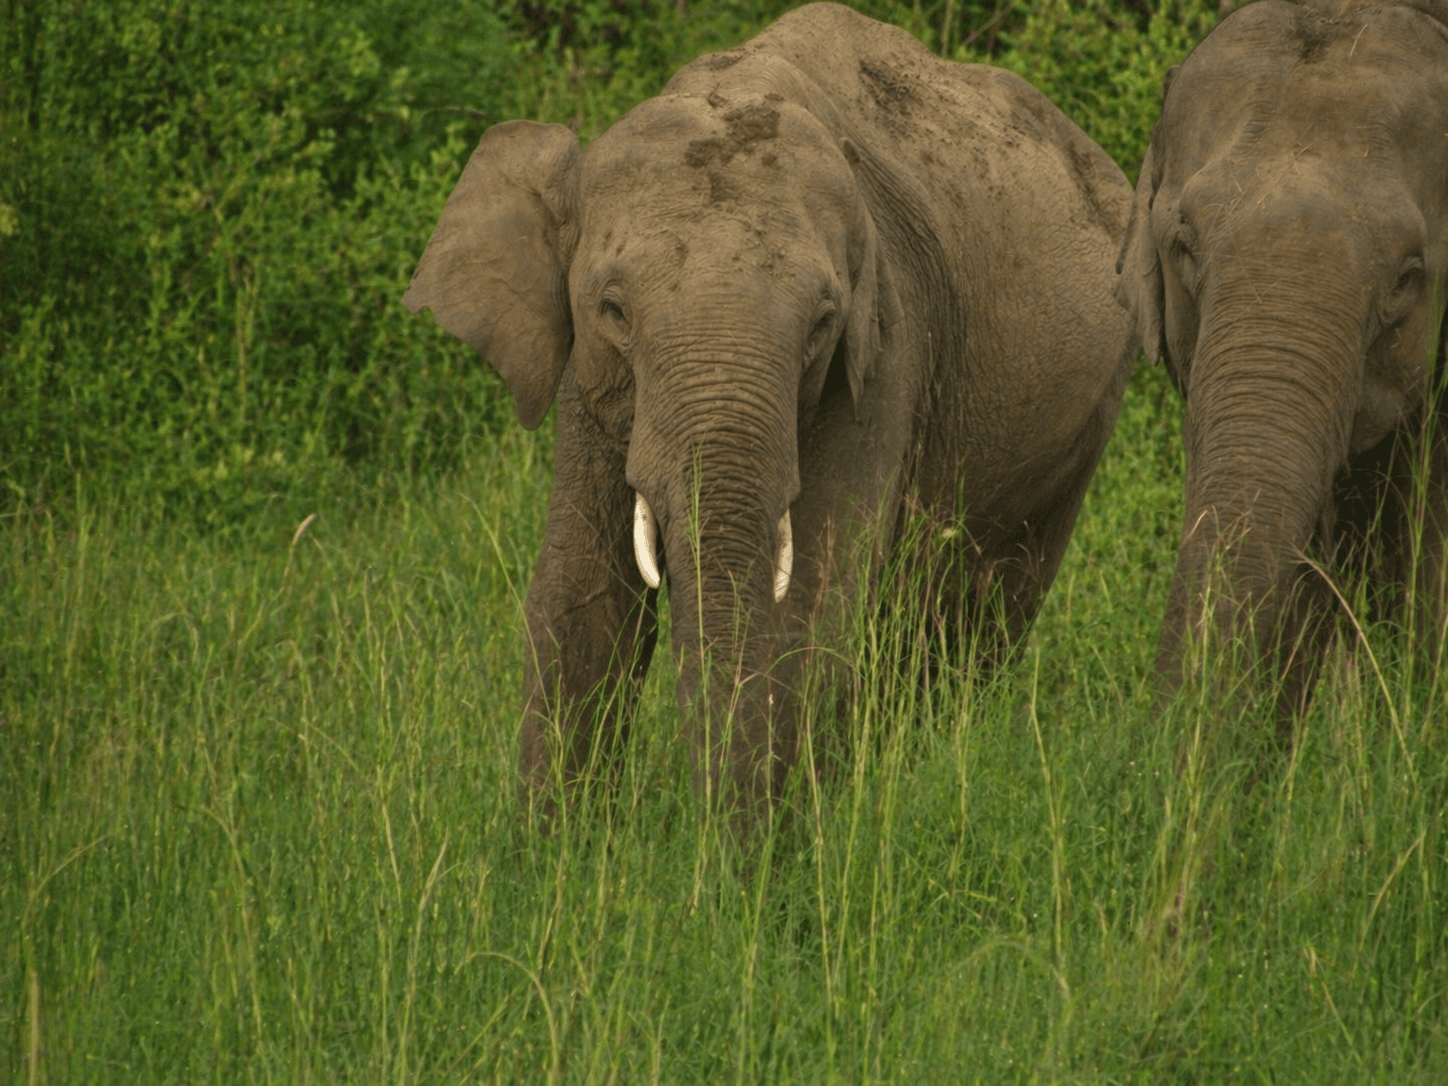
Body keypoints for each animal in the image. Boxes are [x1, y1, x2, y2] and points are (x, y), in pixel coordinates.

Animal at [404, 3, 1135, 827]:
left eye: (820, 322)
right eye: (613, 310)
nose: (698, 842)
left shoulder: (886, 349)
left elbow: (807, 603)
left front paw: (754, 857)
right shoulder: (588, 378)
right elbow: (580, 588)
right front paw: (551, 853)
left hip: (1086, 413)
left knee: (977, 613)